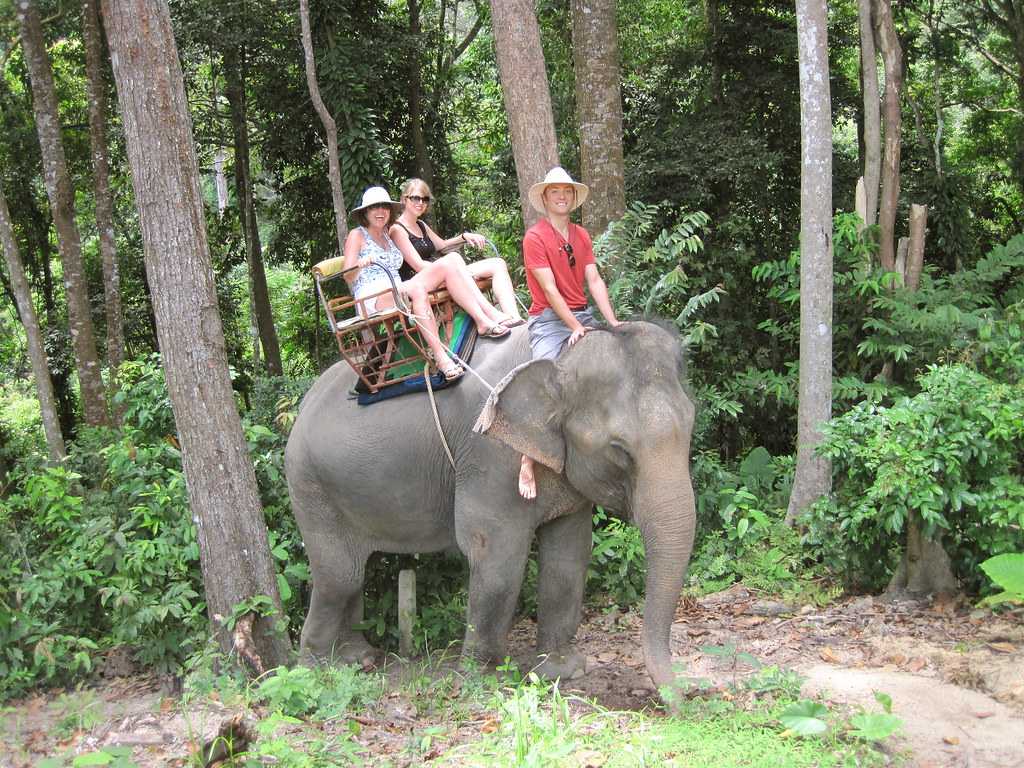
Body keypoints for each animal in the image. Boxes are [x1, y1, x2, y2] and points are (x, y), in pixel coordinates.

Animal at [286, 319, 696, 692]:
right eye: (619, 449)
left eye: (691, 425)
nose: (681, 700)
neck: (559, 357)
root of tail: (303, 406)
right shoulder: (490, 455)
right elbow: (498, 555)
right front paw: (484, 679)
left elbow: (569, 557)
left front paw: (563, 672)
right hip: (309, 486)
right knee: (340, 575)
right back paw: (316, 671)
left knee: (356, 572)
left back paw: (358, 658)